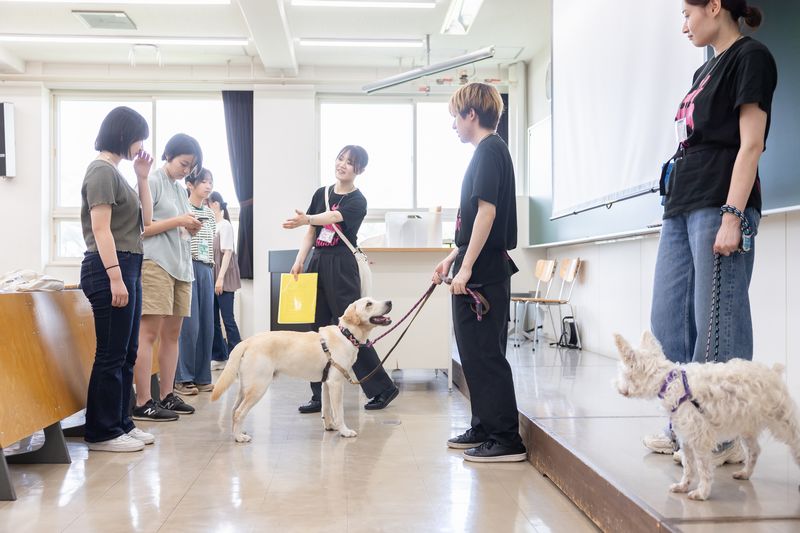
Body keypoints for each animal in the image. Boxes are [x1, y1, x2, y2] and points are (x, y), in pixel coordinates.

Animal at [211, 298, 390, 442]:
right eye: (368, 304)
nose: (389, 302)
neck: (346, 334)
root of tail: (247, 341)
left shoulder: (327, 383)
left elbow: (326, 408)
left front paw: (330, 426)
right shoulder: (336, 383)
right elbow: (339, 412)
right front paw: (344, 431)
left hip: (245, 387)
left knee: (234, 410)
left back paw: (237, 433)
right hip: (258, 386)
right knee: (239, 412)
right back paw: (239, 437)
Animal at [616, 330, 796, 500]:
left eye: (623, 373)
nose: (616, 386)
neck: (670, 382)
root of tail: (773, 372)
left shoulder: (700, 439)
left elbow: (703, 468)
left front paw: (702, 493)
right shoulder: (686, 438)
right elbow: (688, 466)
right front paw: (683, 485)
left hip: (783, 421)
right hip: (746, 426)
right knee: (755, 451)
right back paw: (745, 473)